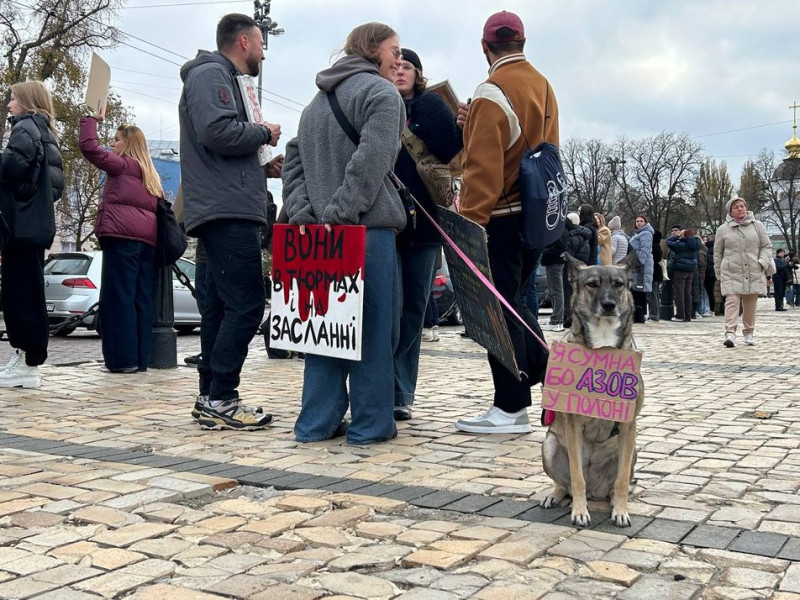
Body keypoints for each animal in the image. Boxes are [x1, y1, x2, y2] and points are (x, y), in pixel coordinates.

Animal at [536, 252, 644, 524]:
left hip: (632, 450)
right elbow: (577, 478)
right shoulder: (573, 424)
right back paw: (554, 495)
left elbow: (621, 479)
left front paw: (621, 511)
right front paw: (580, 511)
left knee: (617, 484)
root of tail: (597, 491)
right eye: (592, 284)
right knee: (565, 484)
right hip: (549, 445)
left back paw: (615, 500)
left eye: (619, 284)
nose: (609, 305)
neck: (603, 344)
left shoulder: (628, 424)